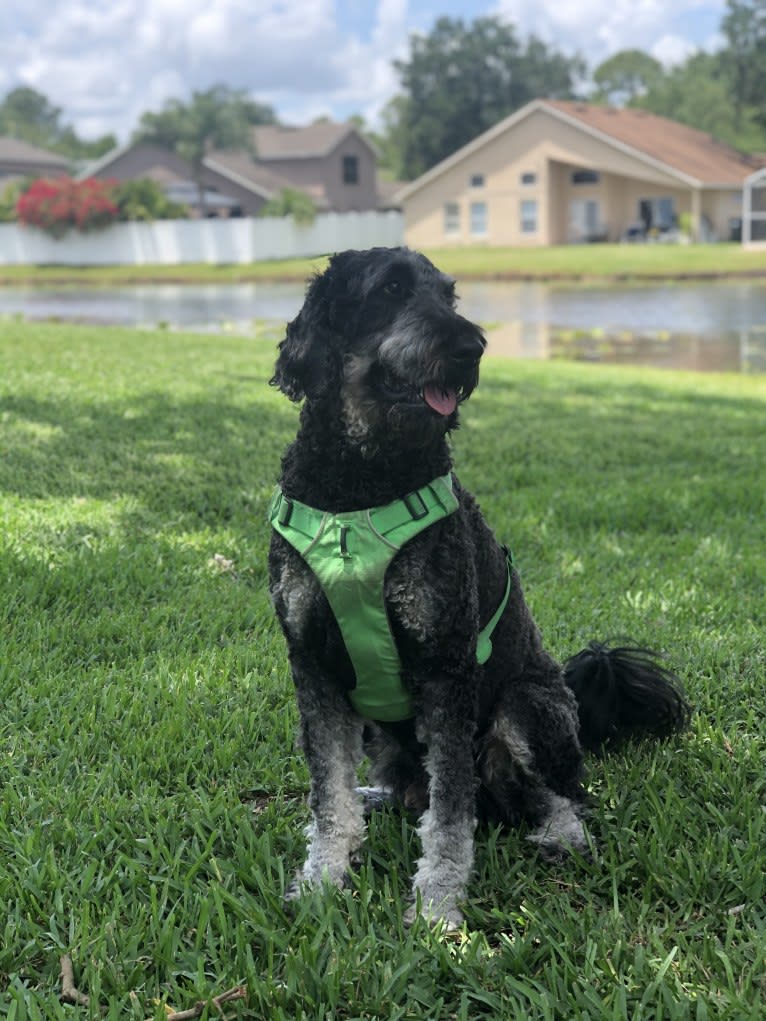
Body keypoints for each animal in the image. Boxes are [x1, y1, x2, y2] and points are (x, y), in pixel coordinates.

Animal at [267, 245, 690, 927]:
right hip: (381, 727)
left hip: (525, 710)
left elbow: (451, 815)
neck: (360, 484)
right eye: (390, 290)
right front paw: (322, 878)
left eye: (449, 296)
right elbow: (329, 795)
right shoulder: (314, 665)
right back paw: (379, 796)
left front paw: (437, 906)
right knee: (408, 788)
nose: (472, 348)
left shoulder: (447, 668)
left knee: (560, 795)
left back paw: (562, 836)